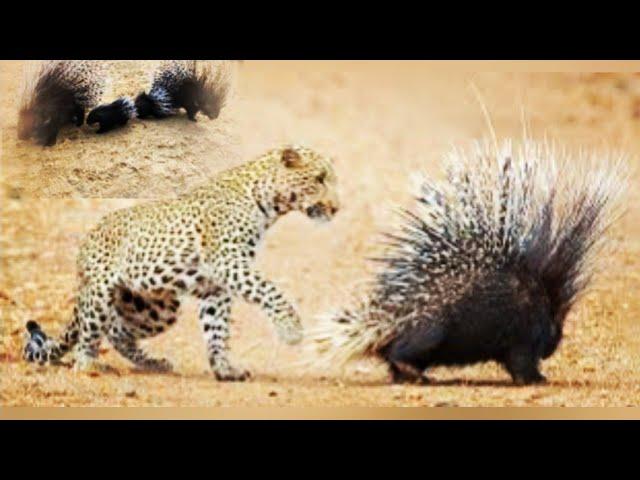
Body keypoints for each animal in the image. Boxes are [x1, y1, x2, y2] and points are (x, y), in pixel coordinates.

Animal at [22, 144, 340, 380]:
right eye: (319, 179)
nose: (336, 208)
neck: (268, 204)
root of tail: (86, 243)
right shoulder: (228, 262)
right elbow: (269, 290)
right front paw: (291, 329)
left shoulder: (216, 286)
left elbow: (217, 329)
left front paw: (224, 369)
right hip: (101, 293)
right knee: (90, 333)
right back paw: (88, 364)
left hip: (156, 308)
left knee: (116, 331)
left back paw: (154, 364)